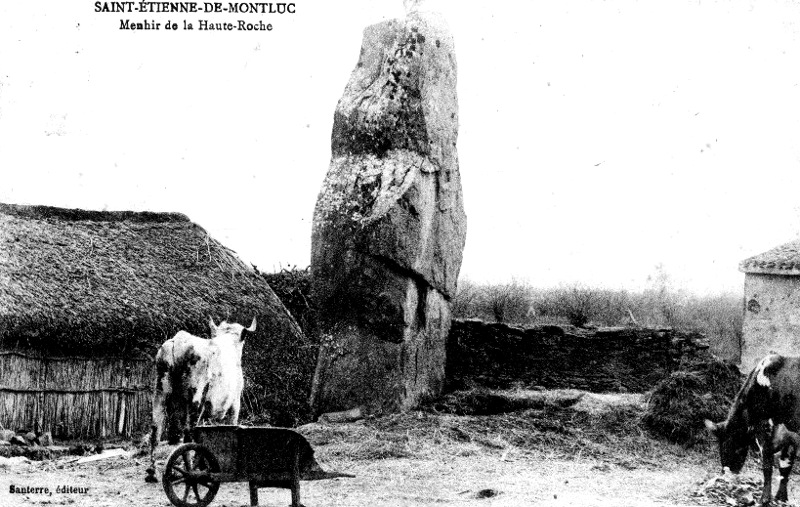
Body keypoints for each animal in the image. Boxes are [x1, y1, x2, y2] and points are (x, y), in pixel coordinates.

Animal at [145, 316, 256, 482]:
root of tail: (178, 341)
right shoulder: (234, 404)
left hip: (161, 394)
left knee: (158, 430)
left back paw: (153, 472)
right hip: (194, 401)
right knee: (188, 434)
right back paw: (190, 470)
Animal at [708, 356, 800, 506]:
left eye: (724, 446)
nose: (725, 473)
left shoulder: (764, 428)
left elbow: (767, 465)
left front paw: (764, 499)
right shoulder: (791, 437)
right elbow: (785, 465)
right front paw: (781, 498)